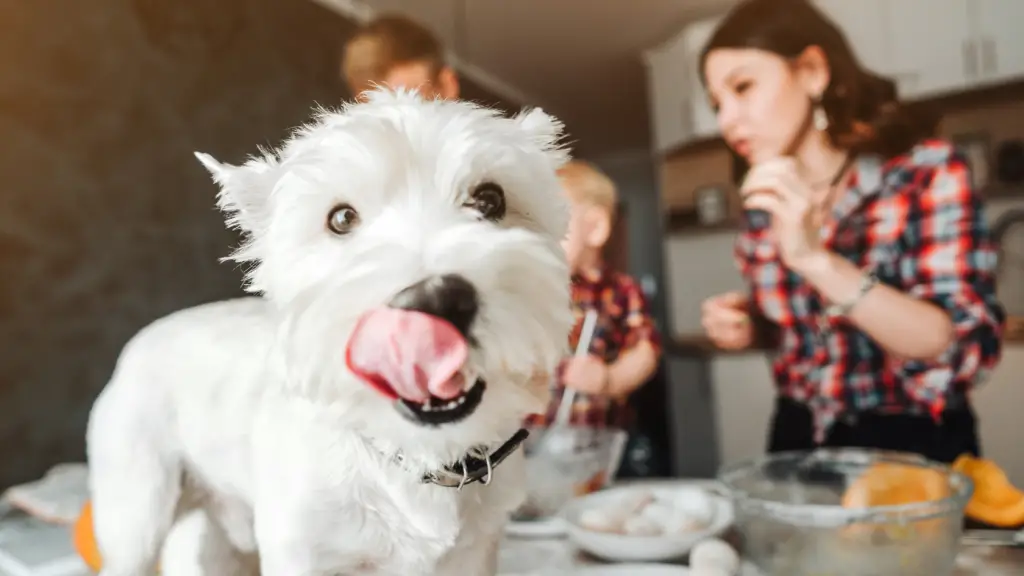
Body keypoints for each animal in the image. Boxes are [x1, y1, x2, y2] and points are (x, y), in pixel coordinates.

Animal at [88, 89, 577, 573]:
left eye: (490, 199)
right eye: (340, 219)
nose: (434, 301)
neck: (413, 454)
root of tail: (140, 340)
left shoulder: (475, 552)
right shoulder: (301, 549)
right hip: (138, 510)